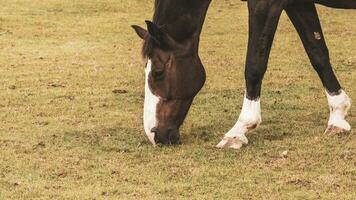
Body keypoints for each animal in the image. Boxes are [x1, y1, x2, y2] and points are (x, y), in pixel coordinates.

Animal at [132, 0, 354, 148]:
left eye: (158, 72)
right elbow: (317, 53)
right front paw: (337, 115)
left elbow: (254, 65)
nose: (154, 134)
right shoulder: (298, 3)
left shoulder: (265, 5)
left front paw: (239, 130)